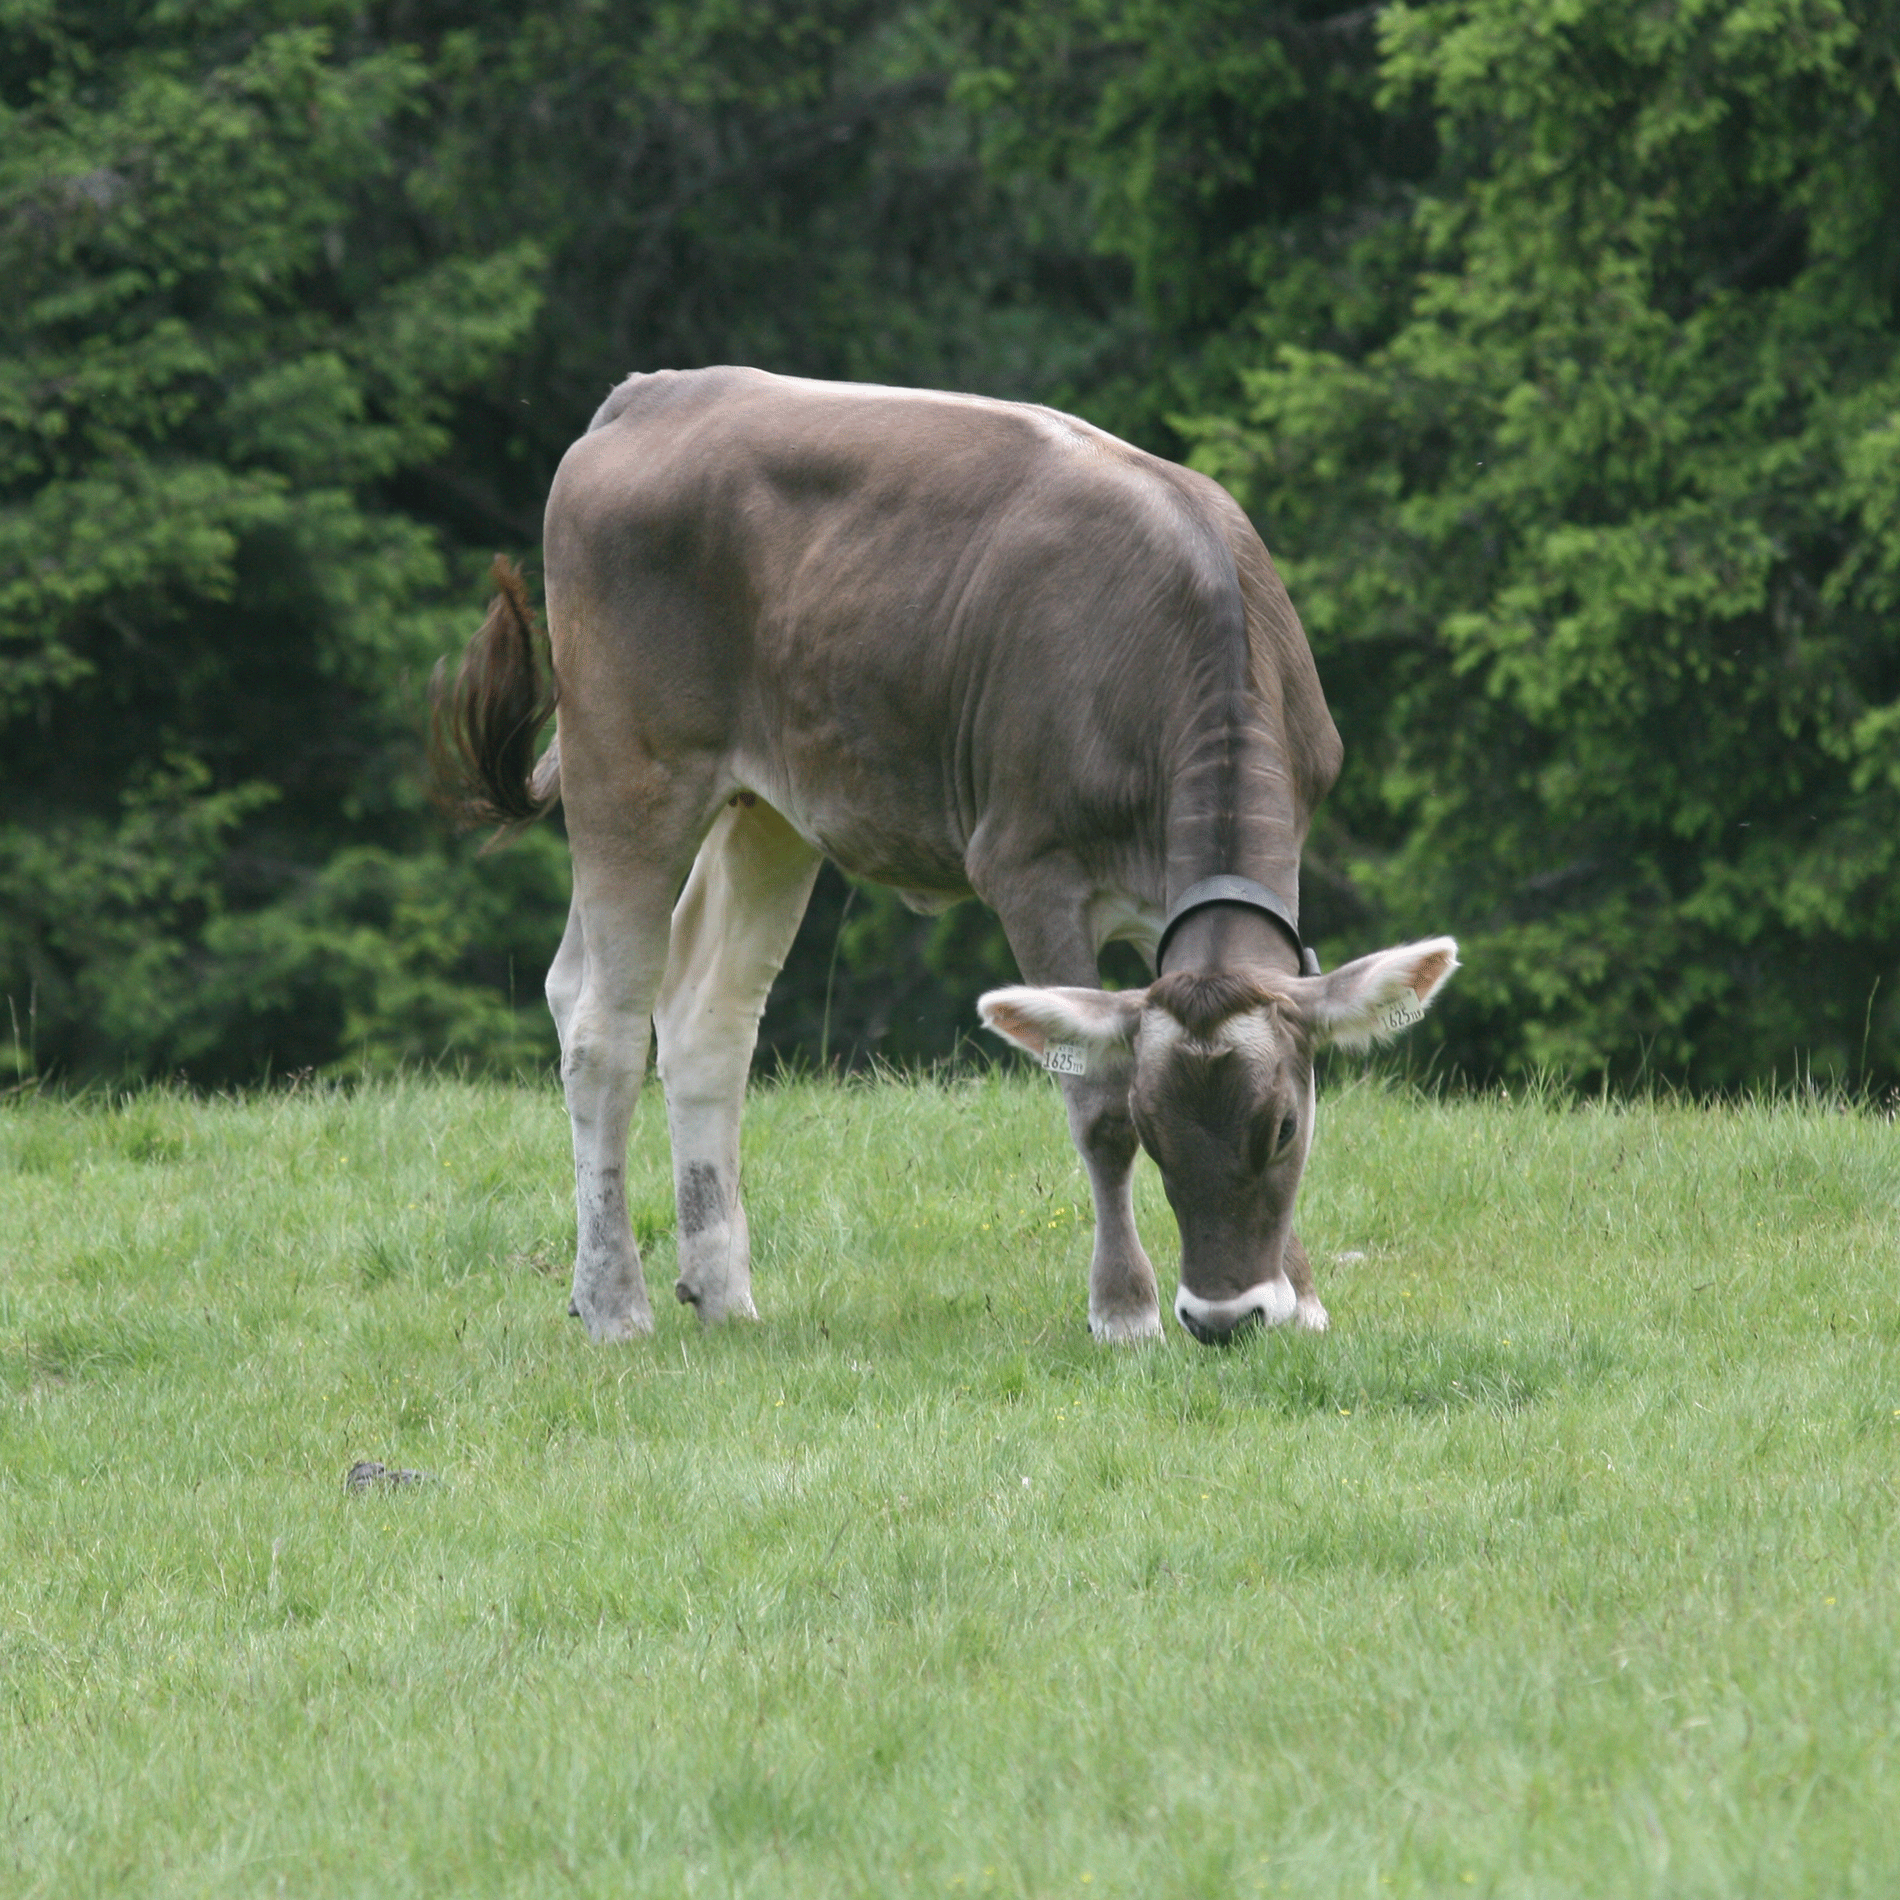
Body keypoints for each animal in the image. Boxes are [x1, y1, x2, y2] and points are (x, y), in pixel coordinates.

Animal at [432, 367, 1457, 1346]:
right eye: (1156, 1130)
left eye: (1281, 1128)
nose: (1224, 1318)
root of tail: (652, 394)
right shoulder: (1030, 868)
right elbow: (1094, 1106)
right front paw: (1123, 1310)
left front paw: (1305, 1298)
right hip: (627, 766)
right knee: (602, 1028)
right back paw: (614, 1302)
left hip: (772, 804)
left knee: (701, 1013)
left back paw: (721, 1293)